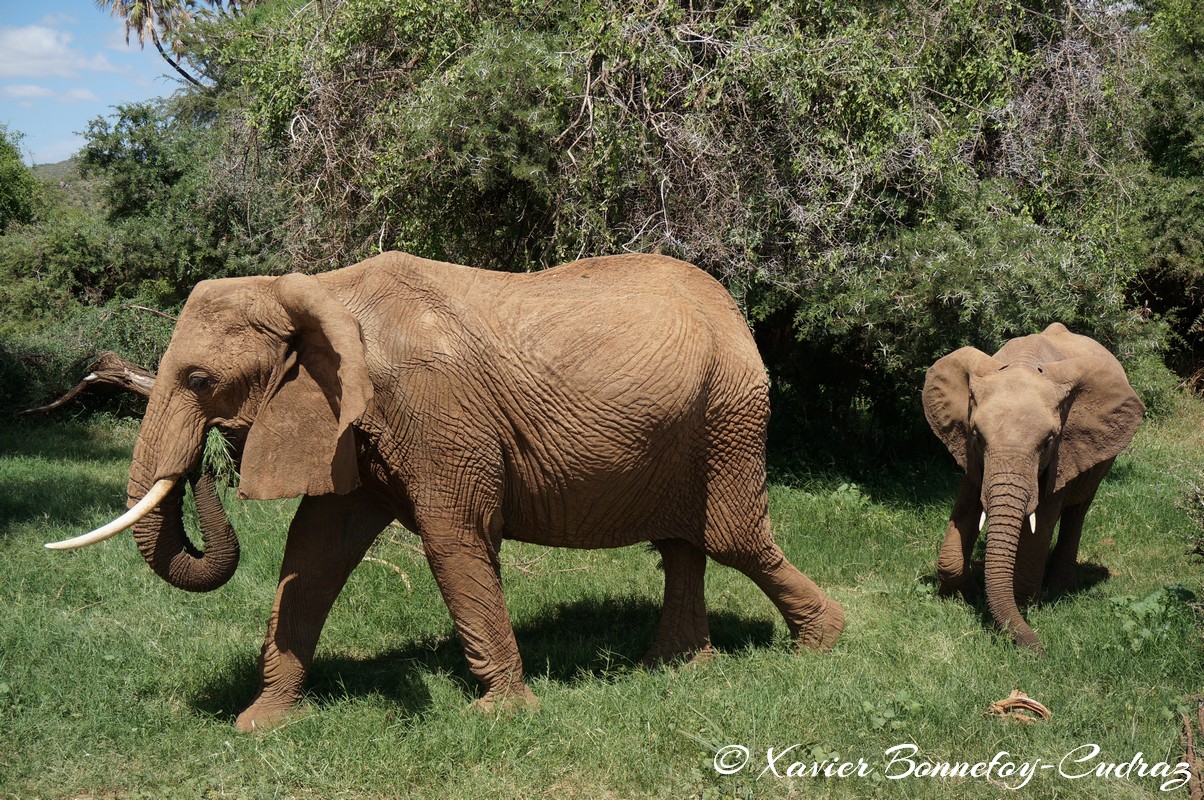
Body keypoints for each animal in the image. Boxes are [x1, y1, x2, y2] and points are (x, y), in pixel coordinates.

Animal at [49, 251, 847, 732]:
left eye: (199, 380)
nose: (204, 469)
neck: (320, 291)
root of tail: (735, 312)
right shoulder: (352, 420)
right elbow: (315, 550)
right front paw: (262, 723)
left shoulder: (434, 412)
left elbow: (452, 538)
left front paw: (503, 717)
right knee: (682, 543)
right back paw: (676, 667)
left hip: (730, 414)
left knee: (732, 537)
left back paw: (822, 646)